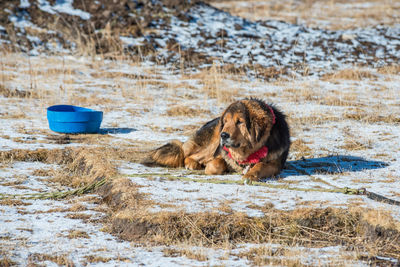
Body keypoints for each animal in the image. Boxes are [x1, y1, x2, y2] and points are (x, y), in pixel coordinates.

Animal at [142, 98, 290, 182]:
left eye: (240, 122)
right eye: (226, 121)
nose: (223, 135)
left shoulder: (276, 163)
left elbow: (261, 165)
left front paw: (251, 175)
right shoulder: (221, 153)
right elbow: (215, 164)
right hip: (211, 144)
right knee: (188, 155)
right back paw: (193, 164)